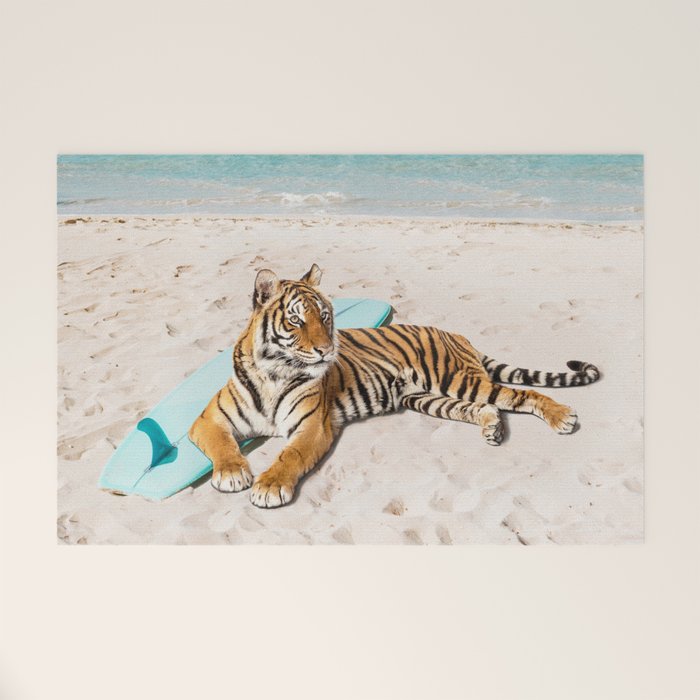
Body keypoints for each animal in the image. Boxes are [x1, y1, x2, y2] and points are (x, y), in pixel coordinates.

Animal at [188, 264, 600, 508]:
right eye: (296, 321)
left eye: (325, 316)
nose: (326, 349)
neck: (275, 371)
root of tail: (457, 334)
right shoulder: (208, 420)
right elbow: (223, 445)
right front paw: (232, 473)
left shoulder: (311, 426)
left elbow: (290, 455)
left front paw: (270, 486)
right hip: (427, 398)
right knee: (486, 408)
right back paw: (492, 429)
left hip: (457, 379)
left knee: (521, 394)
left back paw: (562, 417)